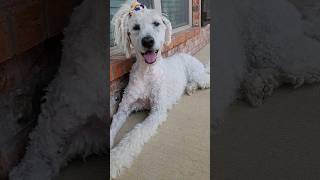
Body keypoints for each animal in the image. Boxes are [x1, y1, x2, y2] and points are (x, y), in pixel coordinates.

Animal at [109, 1, 210, 179]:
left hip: (197, 74)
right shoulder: (123, 109)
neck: (147, 72)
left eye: (156, 23)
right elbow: (112, 126)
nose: (148, 41)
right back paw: (189, 88)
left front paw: (115, 160)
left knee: (206, 79)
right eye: (135, 27)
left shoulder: (157, 111)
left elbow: (135, 134)